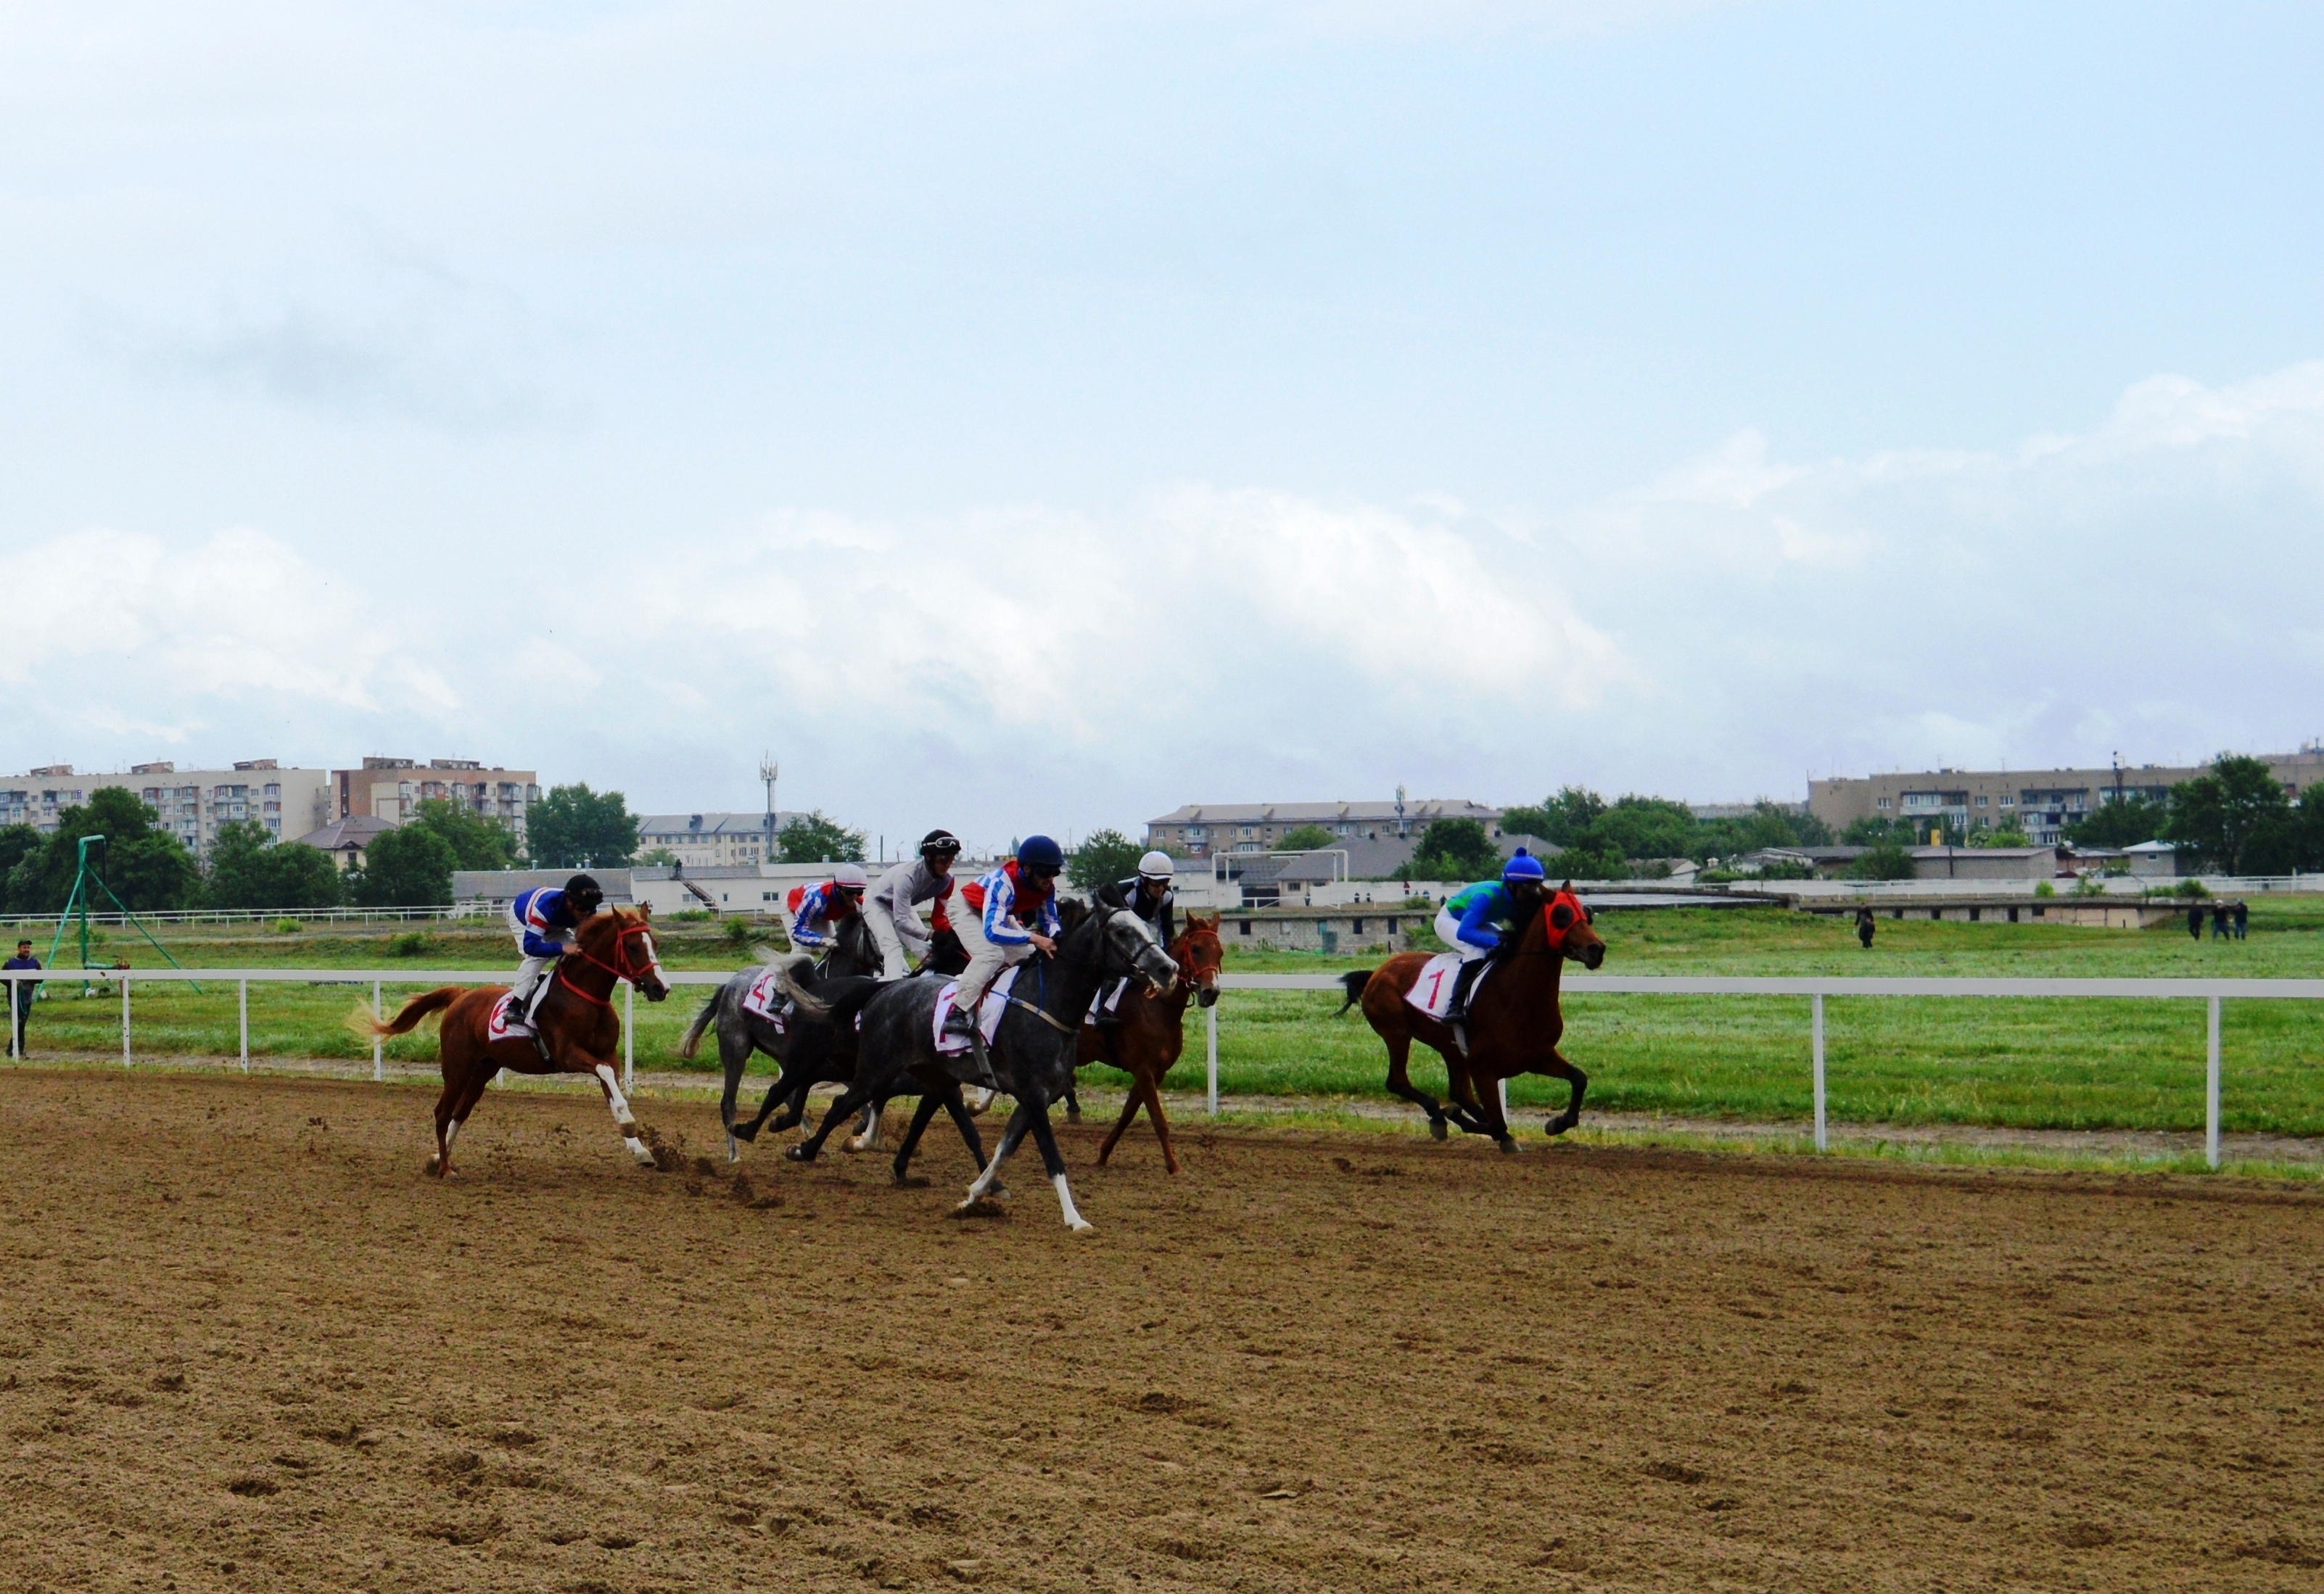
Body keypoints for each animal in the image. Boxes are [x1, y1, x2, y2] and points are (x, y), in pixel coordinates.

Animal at [358, 906, 674, 1180]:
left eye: (655, 943)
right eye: (632, 946)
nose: (661, 988)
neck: (586, 998)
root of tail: (461, 995)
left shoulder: (608, 1054)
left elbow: (613, 1091)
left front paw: (640, 1149)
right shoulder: (568, 1054)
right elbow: (607, 1077)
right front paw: (629, 1125)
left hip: (483, 1069)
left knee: (459, 1112)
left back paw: (437, 1159)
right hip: (457, 1068)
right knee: (442, 1113)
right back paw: (445, 1168)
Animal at [790, 911, 1180, 1236]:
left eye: (1147, 925)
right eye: (1122, 931)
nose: (1168, 968)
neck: (1047, 1005)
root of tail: (884, 989)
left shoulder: (1034, 1098)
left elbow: (1003, 1149)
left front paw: (974, 1195)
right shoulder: (1034, 1094)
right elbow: (1052, 1159)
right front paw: (1075, 1219)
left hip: (927, 1075)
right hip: (877, 1068)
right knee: (841, 1103)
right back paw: (804, 1149)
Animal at [1068, 911, 1227, 1176]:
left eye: (1220, 952)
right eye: (1195, 949)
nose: (1210, 992)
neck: (1157, 1007)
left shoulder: (1157, 1072)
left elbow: (1127, 1115)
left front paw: (1102, 1156)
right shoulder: (1143, 1069)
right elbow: (1158, 1120)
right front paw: (1174, 1166)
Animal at [1357, 887, 1608, 1162]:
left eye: (1586, 913)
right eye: (1561, 915)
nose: (1597, 949)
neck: (1518, 996)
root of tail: (1377, 972)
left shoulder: (1538, 1056)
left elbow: (1579, 1079)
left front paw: (1557, 1123)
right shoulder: (1482, 1067)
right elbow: (1497, 1123)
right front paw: (1465, 1120)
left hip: (1450, 1047)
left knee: (1460, 1093)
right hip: (1397, 1033)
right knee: (1398, 1081)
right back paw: (1438, 1116)